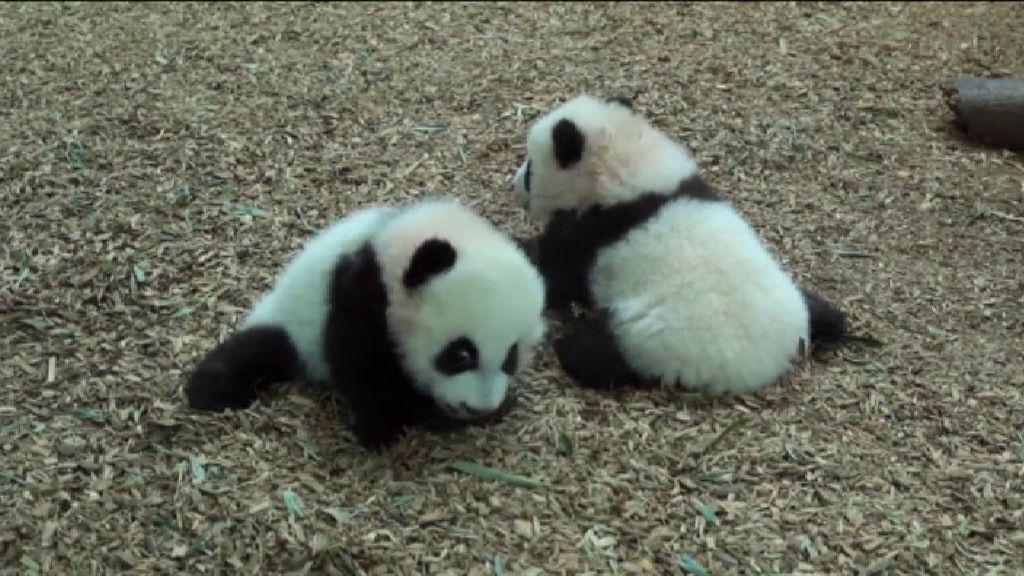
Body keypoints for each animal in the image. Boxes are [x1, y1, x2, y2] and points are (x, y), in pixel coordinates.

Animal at [185, 198, 547, 449]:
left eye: (511, 357)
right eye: (460, 355)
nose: (477, 407)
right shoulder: (361, 288)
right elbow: (361, 359)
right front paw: (387, 425)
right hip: (293, 325)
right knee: (255, 350)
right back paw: (212, 390)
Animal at [509, 94, 847, 396]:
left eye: (530, 171)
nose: (513, 186)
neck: (622, 167)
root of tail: (770, 363)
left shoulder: (593, 232)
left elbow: (554, 273)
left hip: (655, 340)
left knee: (598, 357)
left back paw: (571, 345)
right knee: (823, 311)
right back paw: (830, 321)